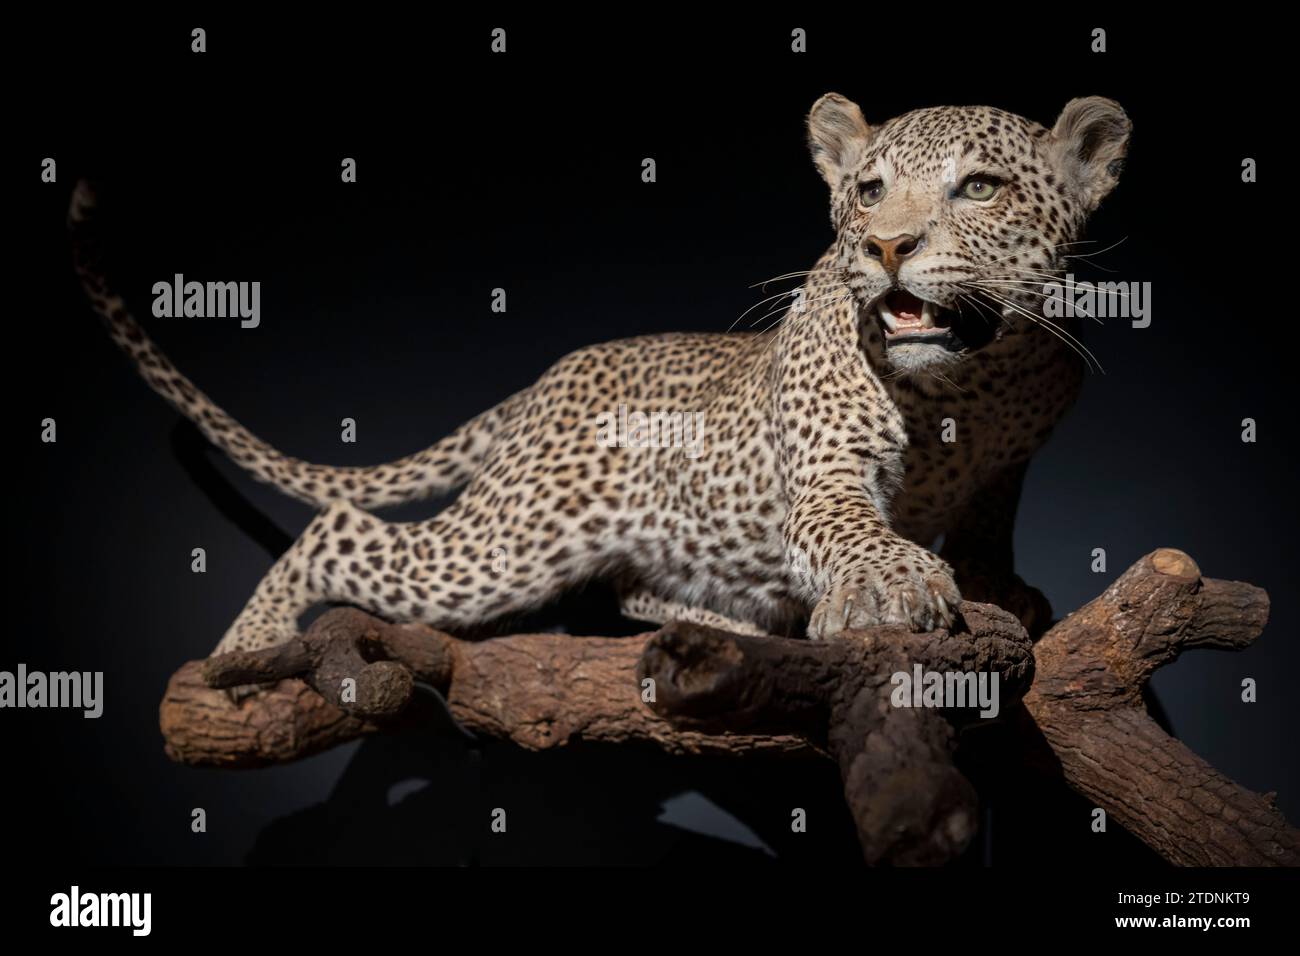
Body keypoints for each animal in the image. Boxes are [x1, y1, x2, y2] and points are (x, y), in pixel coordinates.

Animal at [67, 92, 1130, 667]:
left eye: (979, 188)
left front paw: (1002, 589)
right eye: (867, 191)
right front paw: (891, 585)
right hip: (508, 543)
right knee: (338, 532)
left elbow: (989, 521)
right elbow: (848, 526)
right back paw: (239, 654)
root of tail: (548, 380)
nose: (886, 245)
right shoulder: (828, 470)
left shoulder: (1010, 460)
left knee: (630, 596)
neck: (973, 388)